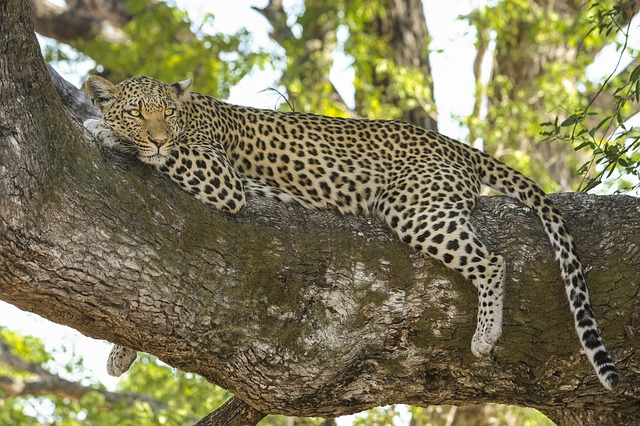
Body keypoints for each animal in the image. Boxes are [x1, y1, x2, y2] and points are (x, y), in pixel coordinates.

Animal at [84, 75, 619, 391]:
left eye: (167, 115)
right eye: (138, 112)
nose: (157, 135)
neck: (191, 113)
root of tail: (452, 143)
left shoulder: (221, 177)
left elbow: (168, 155)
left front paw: (100, 129)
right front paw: (121, 352)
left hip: (413, 207)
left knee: (492, 261)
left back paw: (486, 335)